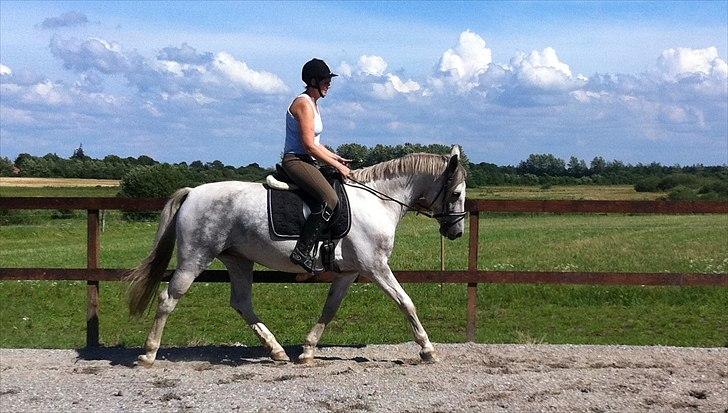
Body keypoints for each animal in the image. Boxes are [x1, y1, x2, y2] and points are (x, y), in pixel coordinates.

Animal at [125, 145, 466, 364]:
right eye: (457, 193)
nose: (456, 232)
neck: (378, 201)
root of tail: (192, 192)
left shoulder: (349, 272)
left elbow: (330, 309)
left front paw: (307, 350)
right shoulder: (376, 267)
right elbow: (406, 302)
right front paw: (427, 350)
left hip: (238, 259)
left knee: (242, 302)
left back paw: (276, 351)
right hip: (195, 259)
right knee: (168, 299)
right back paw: (148, 353)